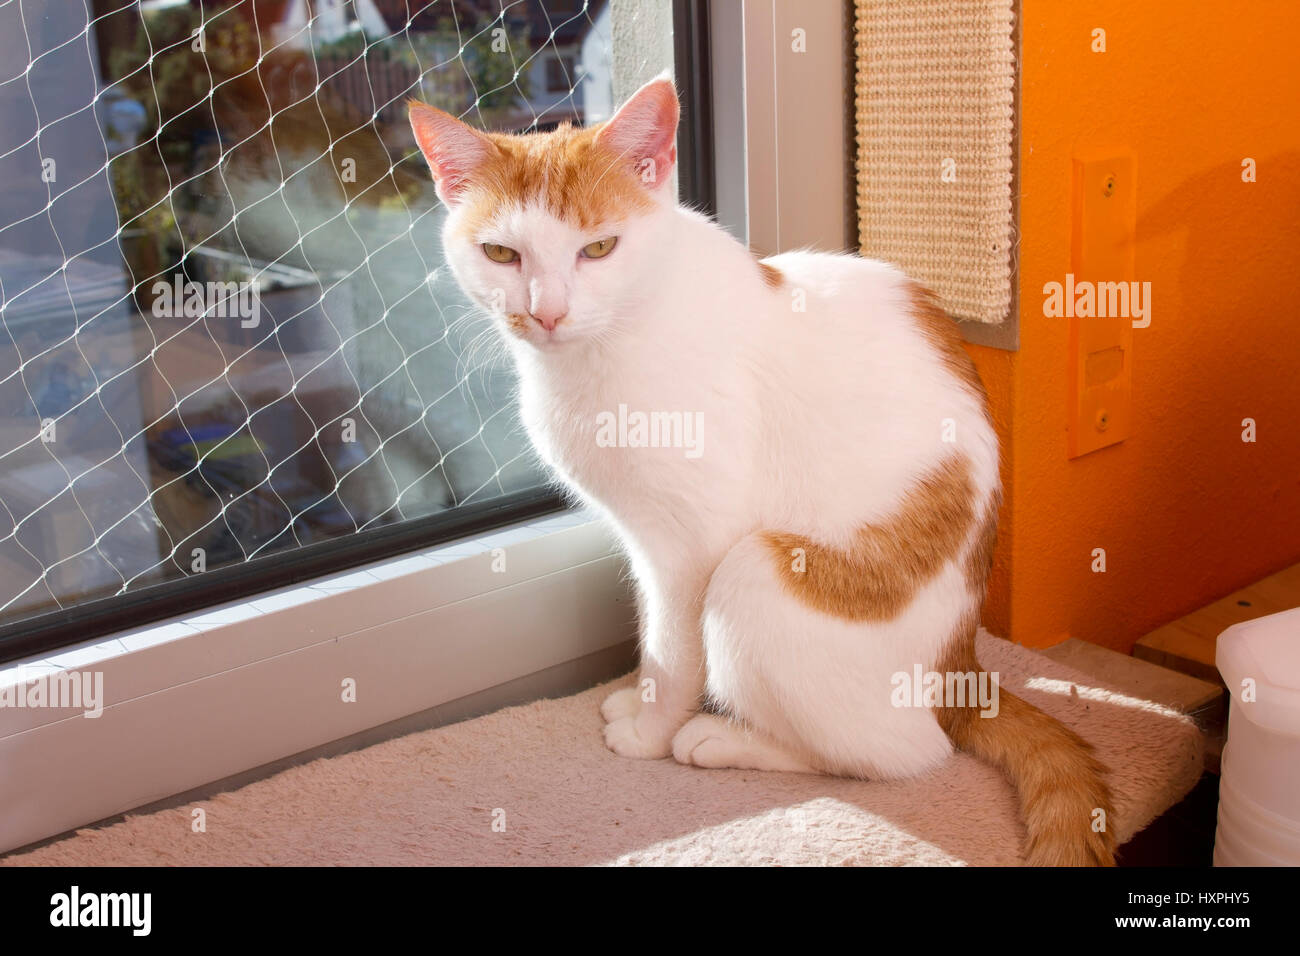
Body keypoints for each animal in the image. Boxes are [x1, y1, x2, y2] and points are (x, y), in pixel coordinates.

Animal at [408, 76, 1118, 868]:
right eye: (501, 253)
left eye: (598, 248)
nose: (547, 312)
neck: (612, 342)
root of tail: (962, 672)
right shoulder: (643, 537)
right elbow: (654, 634)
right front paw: (637, 696)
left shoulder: (691, 544)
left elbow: (674, 650)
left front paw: (650, 729)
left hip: (758, 571)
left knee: (903, 754)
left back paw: (723, 738)